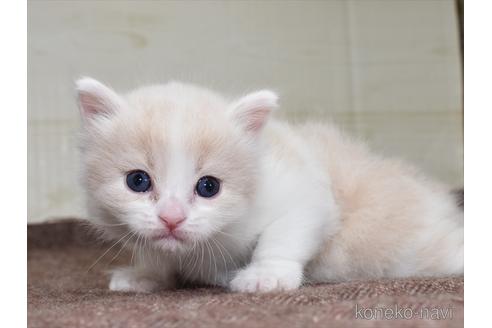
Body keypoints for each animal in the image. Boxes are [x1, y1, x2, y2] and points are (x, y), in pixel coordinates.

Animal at [75, 78, 464, 294]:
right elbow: (155, 252)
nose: (172, 218)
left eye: (208, 187)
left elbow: (281, 236)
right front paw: (146, 275)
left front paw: (266, 276)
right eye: (137, 181)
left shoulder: (304, 195)